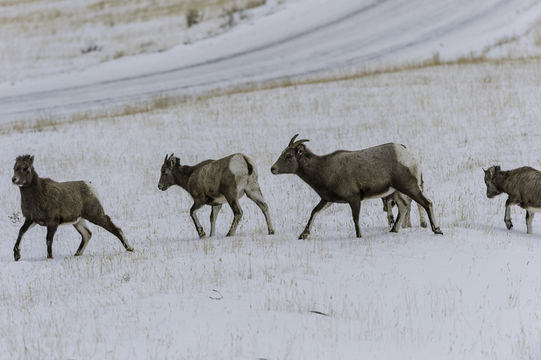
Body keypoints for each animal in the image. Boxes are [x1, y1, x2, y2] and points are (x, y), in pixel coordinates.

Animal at [270, 135, 442, 239]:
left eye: (288, 156)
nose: (273, 169)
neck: (324, 170)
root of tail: (406, 152)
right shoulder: (327, 200)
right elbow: (314, 212)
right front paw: (303, 235)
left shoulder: (354, 199)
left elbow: (356, 219)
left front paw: (359, 236)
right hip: (397, 191)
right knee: (404, 206)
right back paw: (393, 230)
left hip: (409, 187)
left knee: (427, 203)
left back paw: (437, 230)